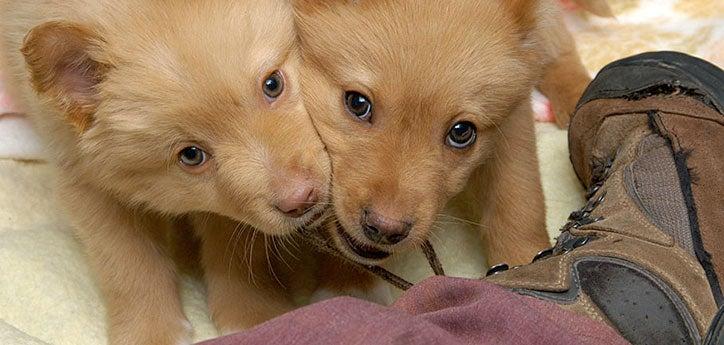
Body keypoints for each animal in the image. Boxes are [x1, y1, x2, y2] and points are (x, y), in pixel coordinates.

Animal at [1, 0, 330, 342]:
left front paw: (252, 314)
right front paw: (151, 331)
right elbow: (128, 262)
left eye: (272, 84)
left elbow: (235, 247)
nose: (302, 200)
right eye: (191, 155)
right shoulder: (88, 180)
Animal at [294, 0, 592, 286]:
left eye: (461, 132)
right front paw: (344, 281)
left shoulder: (512, 120)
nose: (385, 228)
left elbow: (517, 198)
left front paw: (527, 267)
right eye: (357, 103)